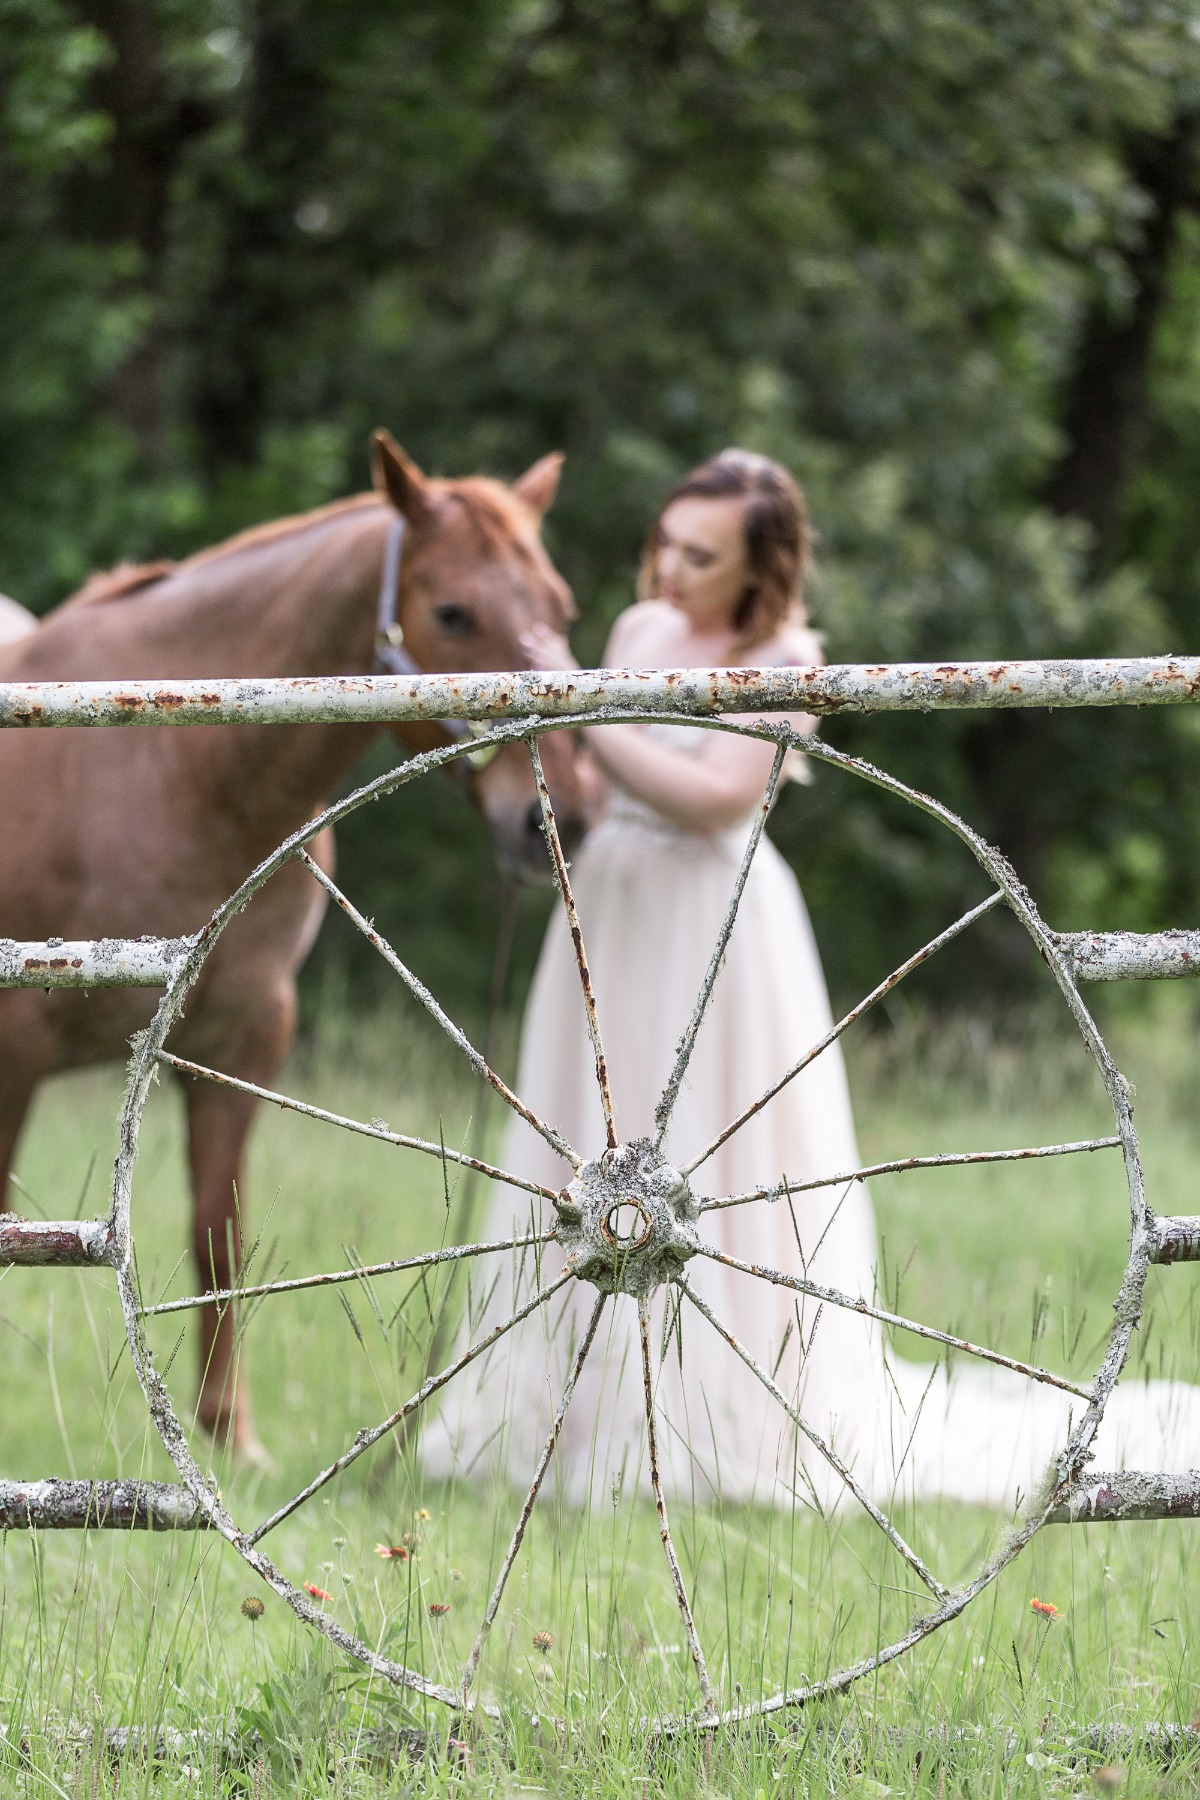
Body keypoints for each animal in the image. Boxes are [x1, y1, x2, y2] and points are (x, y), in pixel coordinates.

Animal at [0, 430, 592, 1454]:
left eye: (561, 608)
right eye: (453, 611)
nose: (557, 817)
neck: (170, 770)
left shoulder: (240, 1040)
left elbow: (219, 1232)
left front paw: (228, 1433)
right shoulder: (14, 1052)